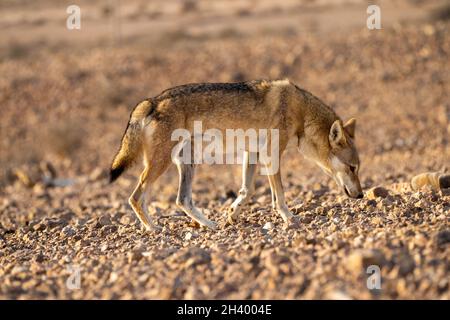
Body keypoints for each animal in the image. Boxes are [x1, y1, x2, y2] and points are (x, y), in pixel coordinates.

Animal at [110, 79, 364, 231]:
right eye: (352, 168)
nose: (361, 195)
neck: (300, 110)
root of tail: (151, 101)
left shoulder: (252, 153)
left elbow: (247, 190)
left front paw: (232, 213)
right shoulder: (271, 155)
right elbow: (279, 196)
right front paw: (289, 218)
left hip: (188, 162)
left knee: (182, 199)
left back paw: (210, 225)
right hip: (161, 165)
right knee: (136, 197)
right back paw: (153, 228)